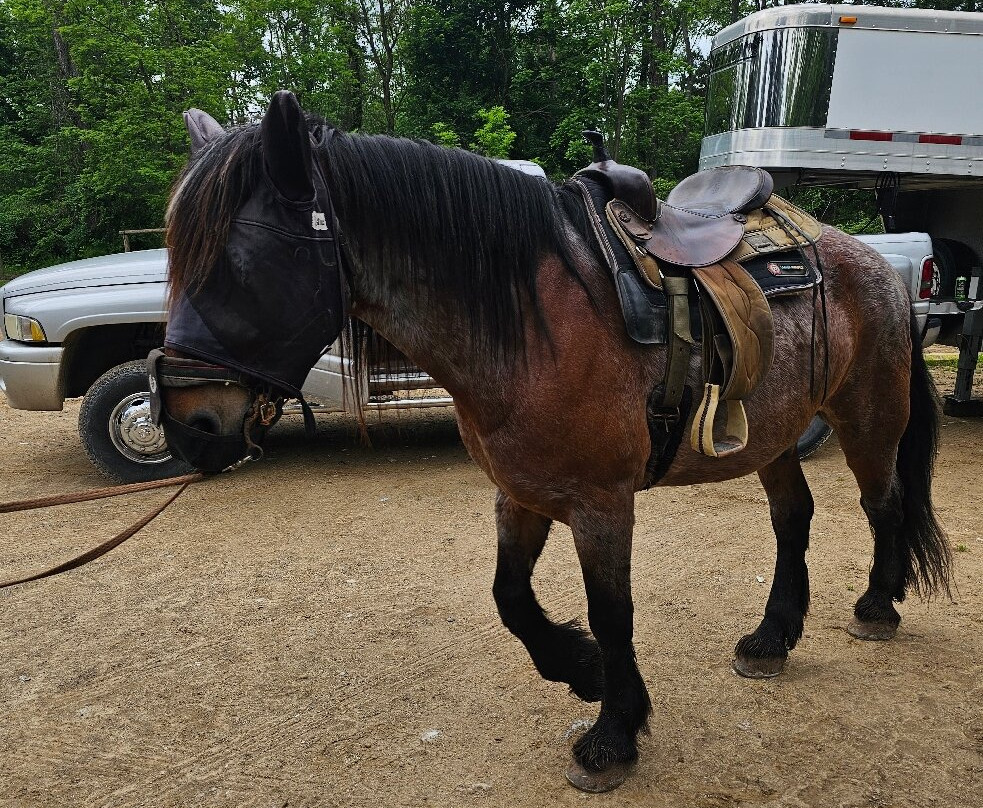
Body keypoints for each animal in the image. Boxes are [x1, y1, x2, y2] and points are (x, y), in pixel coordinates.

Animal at [153, 90, 951, 792]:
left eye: (236, 262)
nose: (190, 424)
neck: (530, 323)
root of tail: (871, 261)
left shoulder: (602, 506)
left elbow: (613, 612)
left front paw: (613, 736)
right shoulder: (522, 492)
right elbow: (509, 595)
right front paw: (582, 668)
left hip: (866, 416)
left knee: (882, 503)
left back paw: (877, 607)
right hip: (774, 436)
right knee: (794, 517)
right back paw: (771, 638)